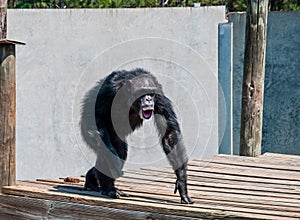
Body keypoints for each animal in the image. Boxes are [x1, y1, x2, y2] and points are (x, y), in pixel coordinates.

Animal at [82, 68, 195, 204]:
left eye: (150, 93)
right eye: (142, 92)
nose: (148, 99)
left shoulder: (160, 96)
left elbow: (169, 134)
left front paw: (182, 184)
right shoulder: (109, 90)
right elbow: (95, 116)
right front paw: (114, 162)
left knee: (121, 152)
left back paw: (95, 180)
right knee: (104, 147)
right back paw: (108, 188)